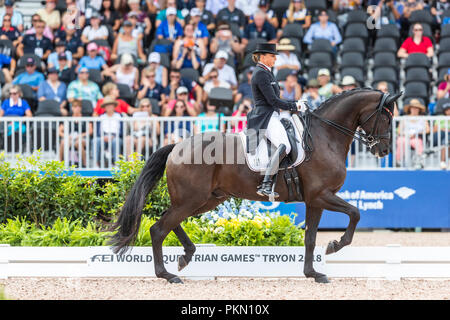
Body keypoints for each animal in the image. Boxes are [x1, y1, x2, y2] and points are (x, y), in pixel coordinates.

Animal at [109, 87, 400, 282]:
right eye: (386, 118)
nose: (384, 150)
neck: (324, 136)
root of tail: (177, 147)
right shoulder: (321, 195)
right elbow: (355, 213)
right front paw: (335, 246)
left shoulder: (314, 200)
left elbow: (310, 238)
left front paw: (313, 273)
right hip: (193, 199)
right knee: (159, 229)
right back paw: (167, 274)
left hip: (206, 199)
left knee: (169, 222)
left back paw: (185, 256)